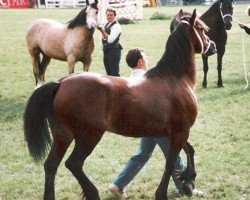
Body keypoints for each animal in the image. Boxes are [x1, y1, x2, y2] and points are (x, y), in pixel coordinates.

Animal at [23, 9, 217, 200]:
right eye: (202, 29)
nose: (213, 45)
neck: (175, 79)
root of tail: (60, 83)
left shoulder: (173, 133)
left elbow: (189, 150)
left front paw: (188, 183)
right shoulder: (180, 132)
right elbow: (170, 163)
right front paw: (166, 191)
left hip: (63, 136)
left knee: (51, 165)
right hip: (89, 137)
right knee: (74, 163)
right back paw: (92, 192)